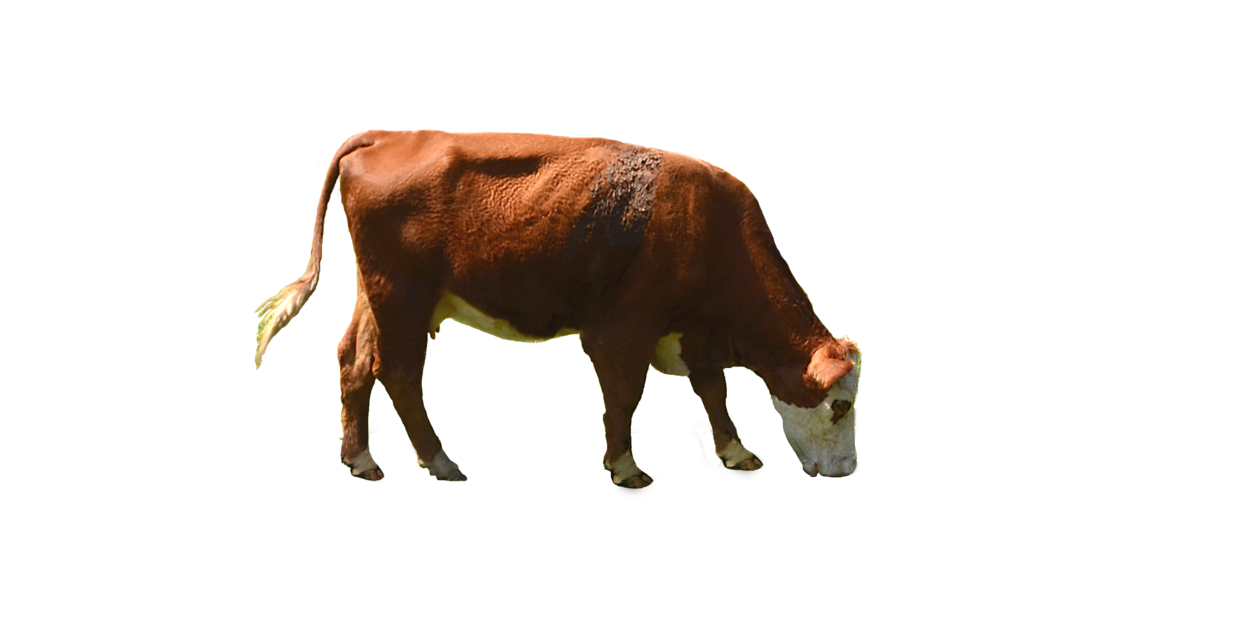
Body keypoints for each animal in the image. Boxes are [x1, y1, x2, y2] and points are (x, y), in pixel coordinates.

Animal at [253, 129, 862, 489]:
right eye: (839, 405)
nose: (851, 469)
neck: (706, 221)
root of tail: (389, 136)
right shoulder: (623, 328)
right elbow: (626, 392)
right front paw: (627, 467)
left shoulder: (693, 331)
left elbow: (713, 388)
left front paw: (738, 452)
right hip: (404, 293)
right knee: (398, 371)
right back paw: (441, 462)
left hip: (377, 293)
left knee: (353, 360)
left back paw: (362, 460)